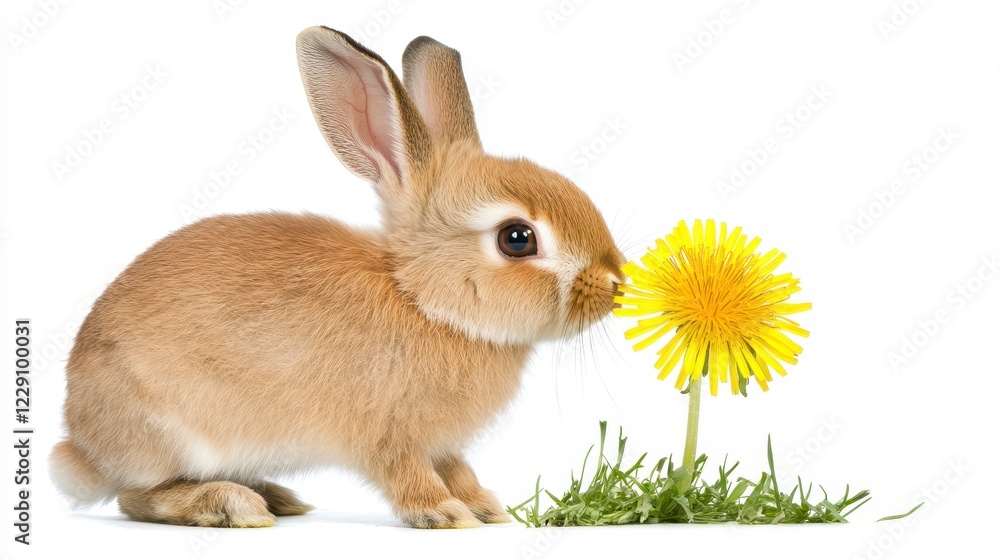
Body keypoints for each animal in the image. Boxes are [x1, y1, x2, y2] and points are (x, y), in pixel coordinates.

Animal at [49, 25, 625, 529]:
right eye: (517, 239)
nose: (613, 284)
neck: (422, 299)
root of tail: (80, 447)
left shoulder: (442, 443)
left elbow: (458, 469)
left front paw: (486, 507)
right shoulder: (388, 434)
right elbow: (407, 475)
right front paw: (444, 514)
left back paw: (276, 496)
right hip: (174, 435)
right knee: (136, 496)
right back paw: (234, 505)